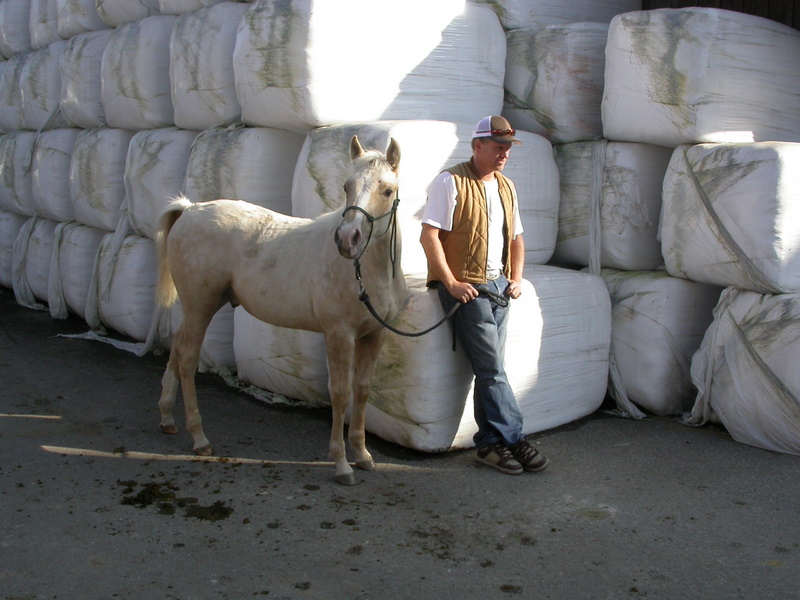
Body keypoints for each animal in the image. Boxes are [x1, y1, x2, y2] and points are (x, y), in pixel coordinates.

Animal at [153, 136, 407, 485]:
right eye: (347, 186)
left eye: (387, 190)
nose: (347, 240)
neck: (366, 272)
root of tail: (190, 209)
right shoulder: (339, 335)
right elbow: (341, 394)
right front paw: (342, 464)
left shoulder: (374, 335)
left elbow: (363, 390)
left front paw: (363, 455)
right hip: (200, 307)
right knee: (188, 359)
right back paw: (199, 438)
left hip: (199, 308)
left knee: (177, 349)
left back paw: (167, 418)